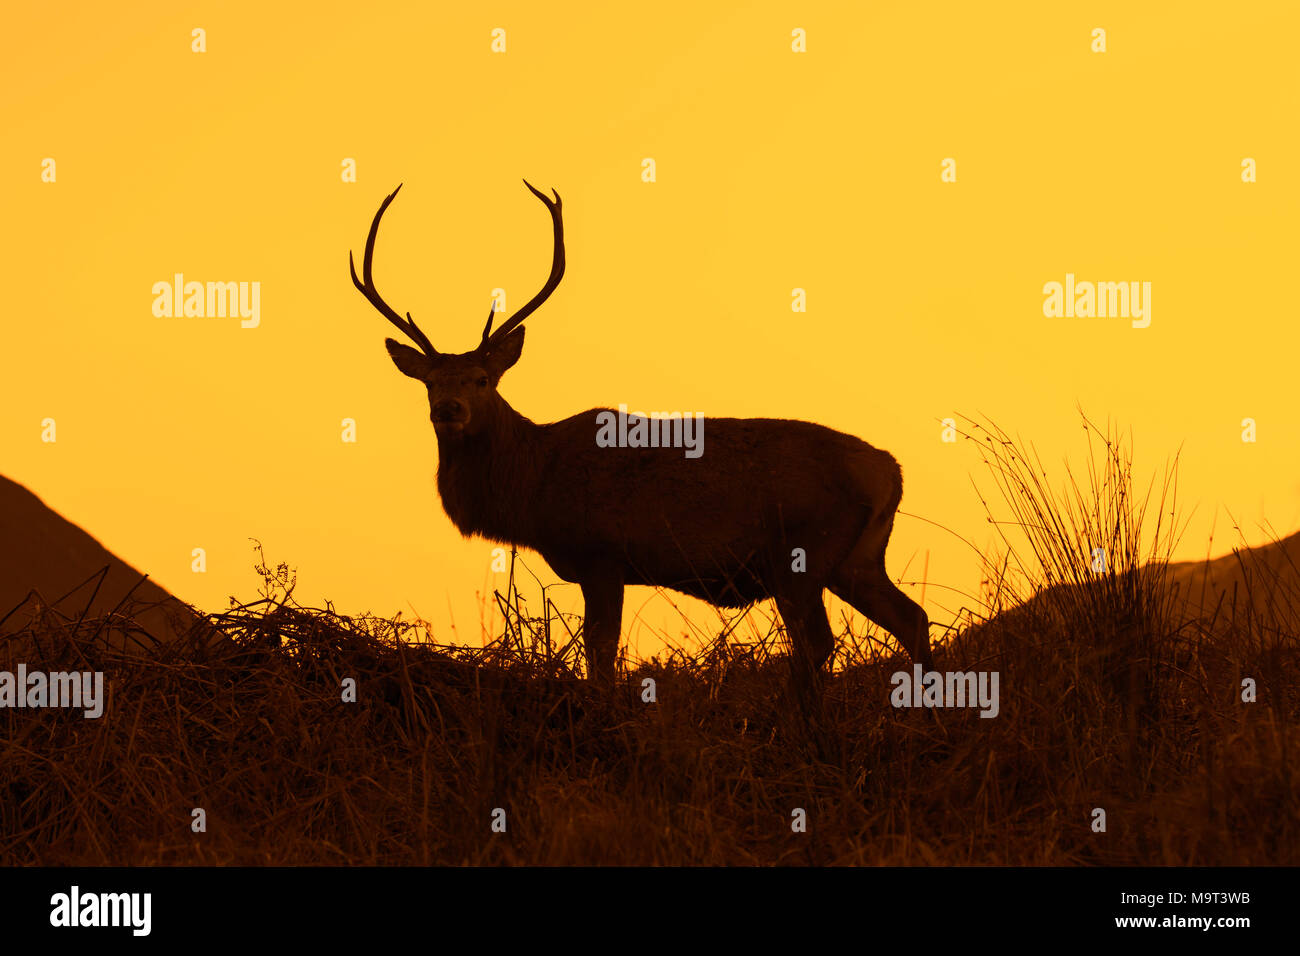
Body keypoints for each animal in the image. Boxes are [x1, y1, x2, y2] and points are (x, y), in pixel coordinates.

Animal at [349, 180, 934, 694]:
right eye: (429, 382)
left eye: (482, 379)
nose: (448, 410)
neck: (534, 489)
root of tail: (891, 471)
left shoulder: (602, 556)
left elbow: (601, 656)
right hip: (858, 557)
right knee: (912, 617)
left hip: (802, 552)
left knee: (819, 642)